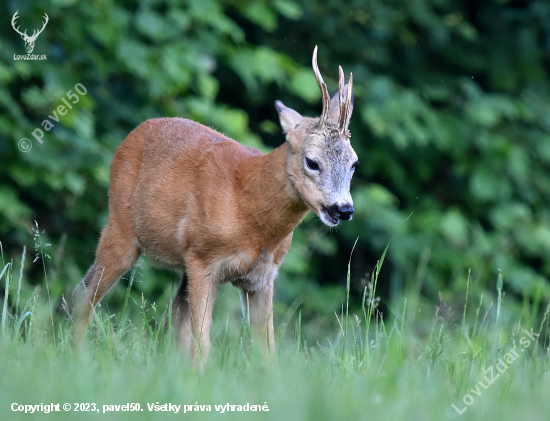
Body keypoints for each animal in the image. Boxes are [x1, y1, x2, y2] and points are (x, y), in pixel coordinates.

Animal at [72, 46, 358, 366]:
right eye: (312, 162)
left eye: (354, 163)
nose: (343, 209)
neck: (250, 213)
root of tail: (134, 132)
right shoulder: (203, 259)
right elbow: (203, 342)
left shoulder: (262, 276)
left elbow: (267, 350)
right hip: (120, 228)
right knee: (84, 294)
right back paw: (75, 356)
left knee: (172, 316)